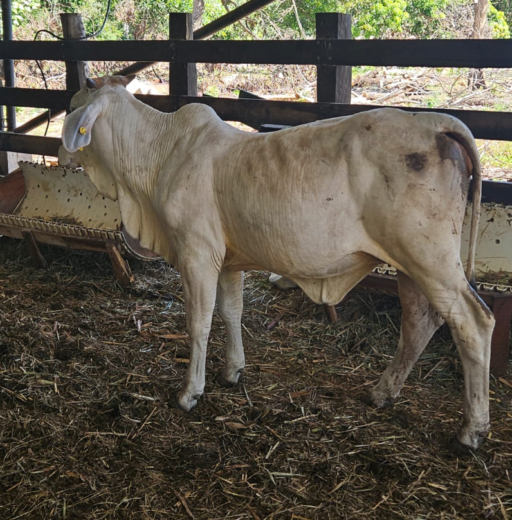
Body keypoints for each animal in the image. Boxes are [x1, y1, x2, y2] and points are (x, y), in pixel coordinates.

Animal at [60, 75, 494, 451]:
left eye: (75, 103)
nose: (63, 151)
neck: (158, 154)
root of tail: (435, 122)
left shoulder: (196, 252)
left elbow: (198, 322)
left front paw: (190, 392)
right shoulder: (227, 260)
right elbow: (231, 312)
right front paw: (232, 371)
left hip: (430, 257)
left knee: (473, 323)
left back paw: (471, 430)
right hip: (410, 264)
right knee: (418, 322)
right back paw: (382, 392)